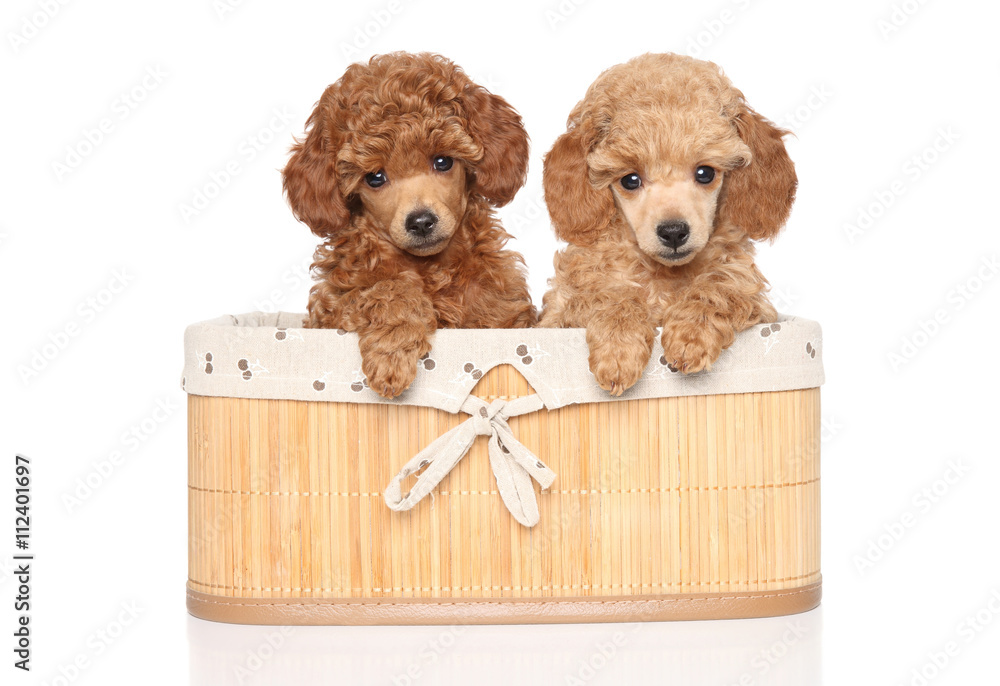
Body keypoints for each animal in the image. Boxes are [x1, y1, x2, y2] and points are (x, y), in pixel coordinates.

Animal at [286, 53, 536, 400]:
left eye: (443, 161)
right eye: (375, 177)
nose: (421, 221)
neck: (429, 268)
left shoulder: (505, 311)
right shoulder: (336, 306)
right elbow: (388, 289)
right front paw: (391, 356)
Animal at [540, 52, 796, 398]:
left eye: (705, 173)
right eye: (630, 180)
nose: (673, 232)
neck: (663, 275)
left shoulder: (753, 296)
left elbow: (722, 286)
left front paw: (691, 335)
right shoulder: (561, 311)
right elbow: (609, 295)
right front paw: (618, 350)